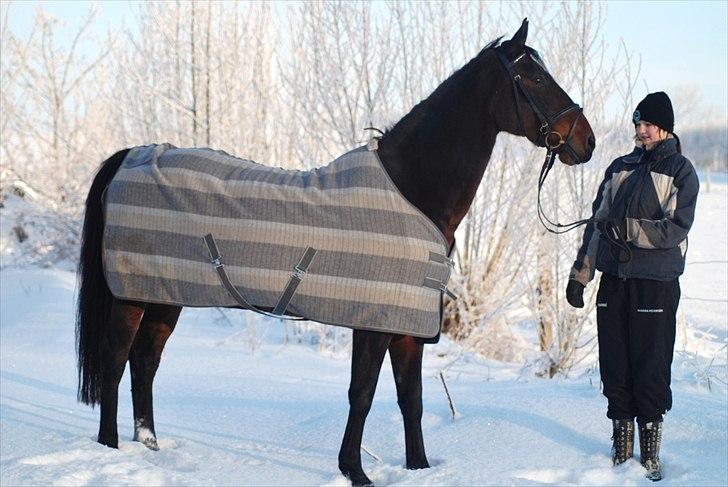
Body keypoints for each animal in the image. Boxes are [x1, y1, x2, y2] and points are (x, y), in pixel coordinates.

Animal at [77, 20, 596, 487]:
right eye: (533, 78)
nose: (586, 141)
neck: (412, 191)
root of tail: (130, 156)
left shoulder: (406, 327)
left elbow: (411, 399)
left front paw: (419, 468)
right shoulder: (373, 322)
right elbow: (362, 394)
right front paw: (355, 471)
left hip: (167, 295)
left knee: (145, 362)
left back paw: (150, 447)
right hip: (131, 296)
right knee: (116, 359)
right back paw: (110, 448)